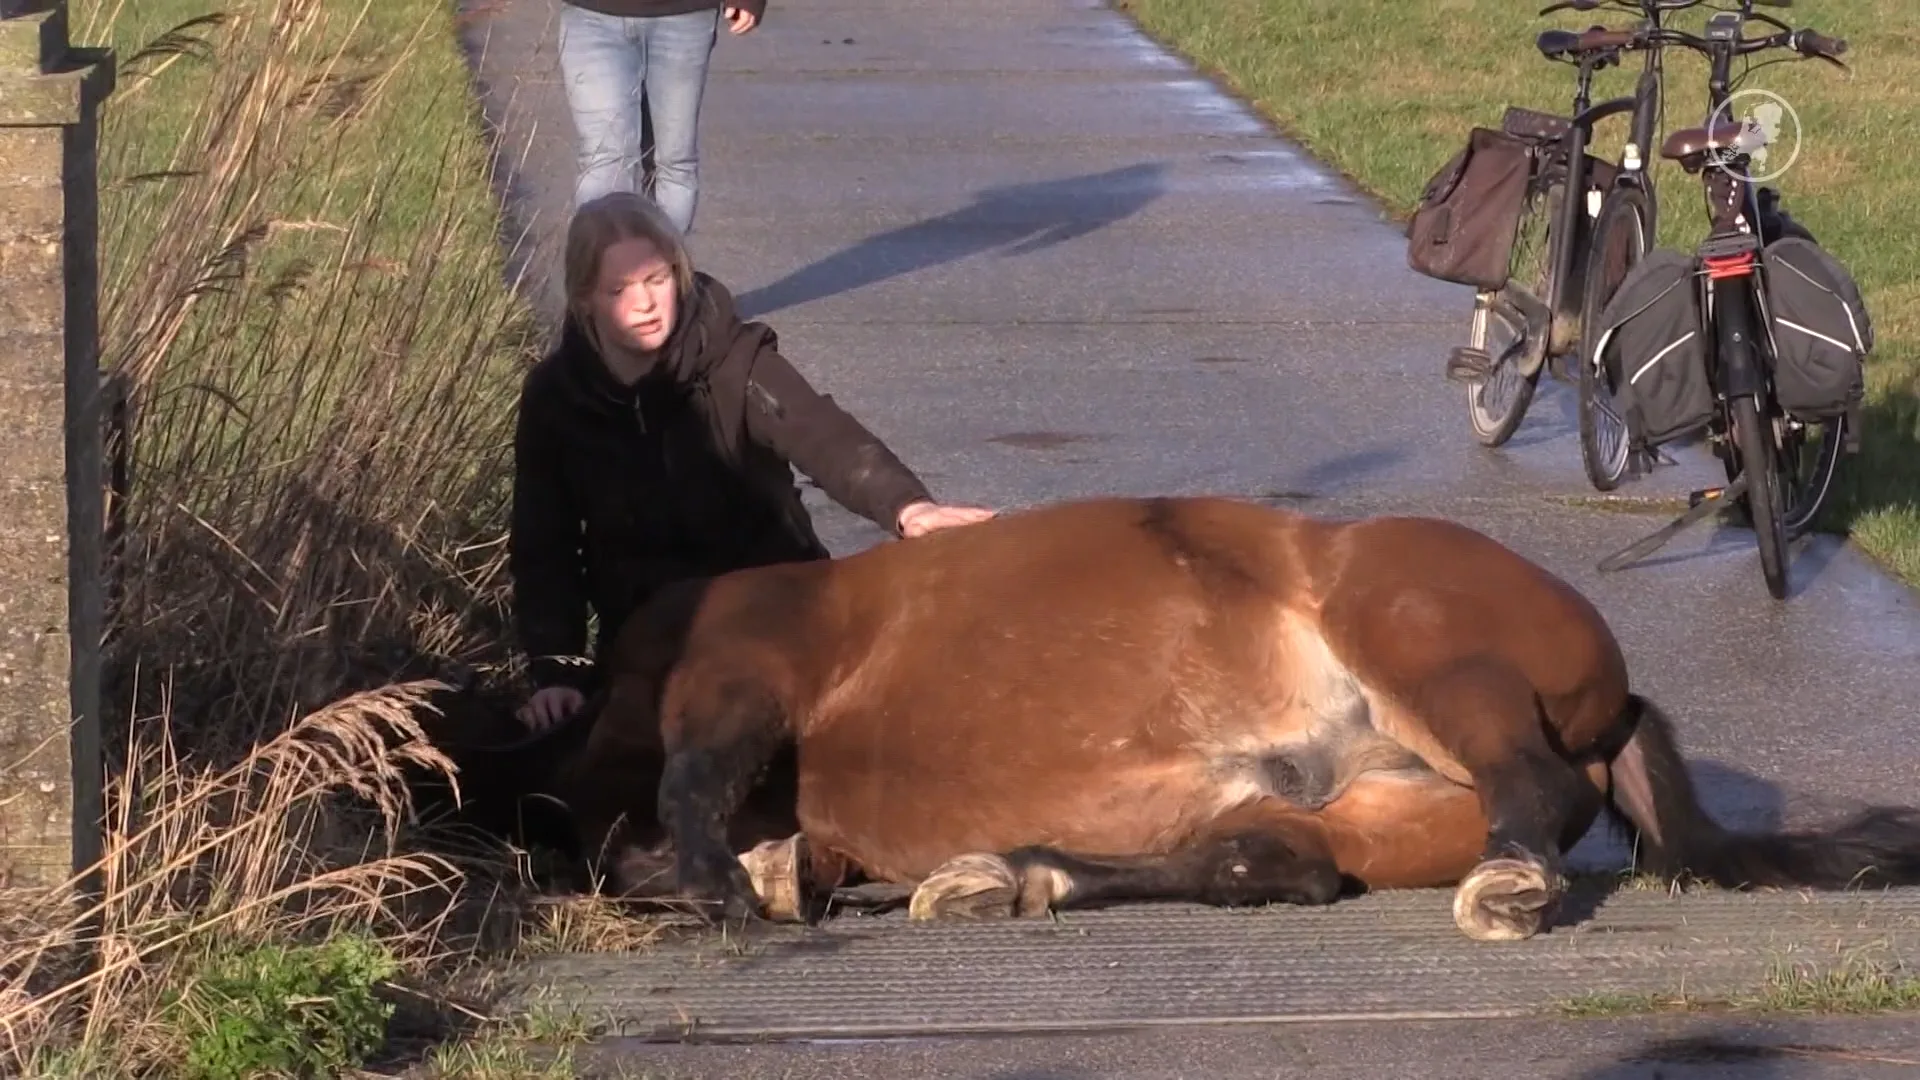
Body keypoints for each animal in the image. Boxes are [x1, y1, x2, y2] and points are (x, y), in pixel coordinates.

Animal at [542, 494, 1920, 941]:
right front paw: (780, 876)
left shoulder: (743, 671)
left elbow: (680, 795)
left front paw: (731, 885)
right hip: (1368, 811)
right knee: (1269, 863)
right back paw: (1004, 877)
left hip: (1426, 648)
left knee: (1527, 790)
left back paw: (1512, 888)